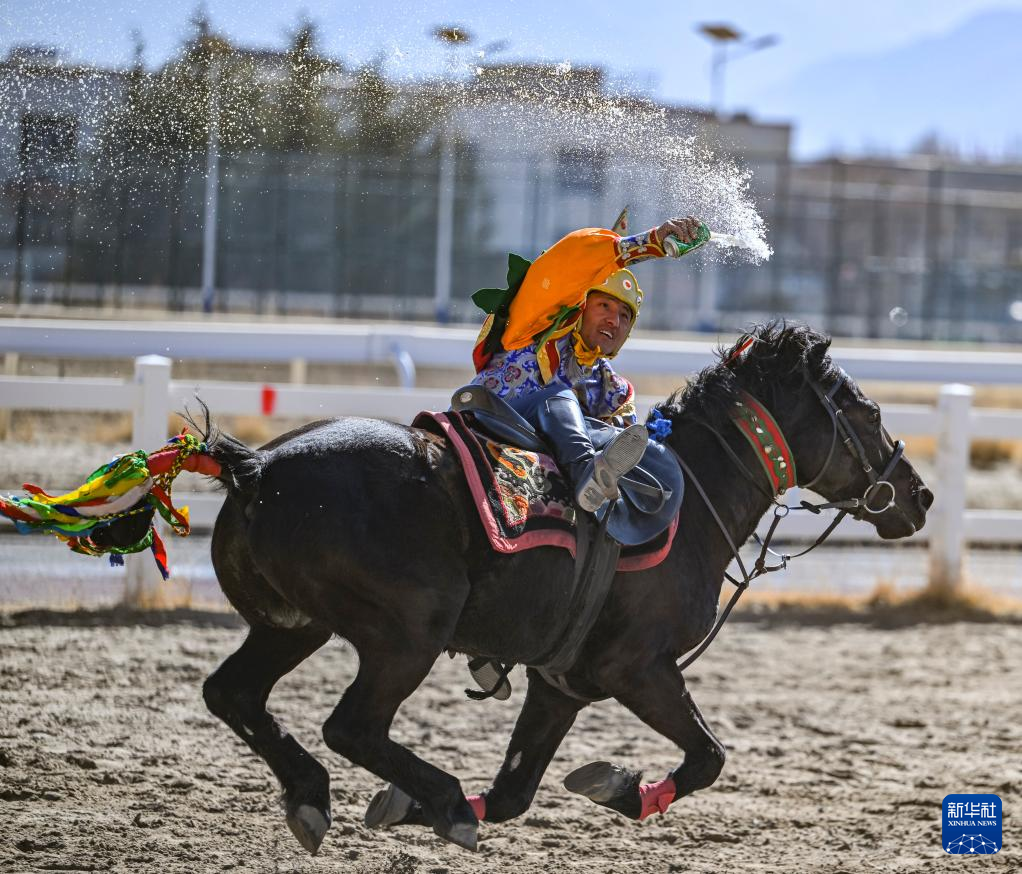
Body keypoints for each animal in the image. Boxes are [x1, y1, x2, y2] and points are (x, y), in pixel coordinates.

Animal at [179, 323, 932, 854]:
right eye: (867, 413)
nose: (919, 496)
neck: (692, 498)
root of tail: (258, 467)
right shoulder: (638, 670)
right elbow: (708, 757)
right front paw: (625, 790)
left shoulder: (560, 684)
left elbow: (516, 790)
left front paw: (414, 807)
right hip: (406, 635)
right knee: (351, 725)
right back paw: (438, 799)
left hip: (291, 625)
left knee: (233, 694)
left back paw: (316, 796)